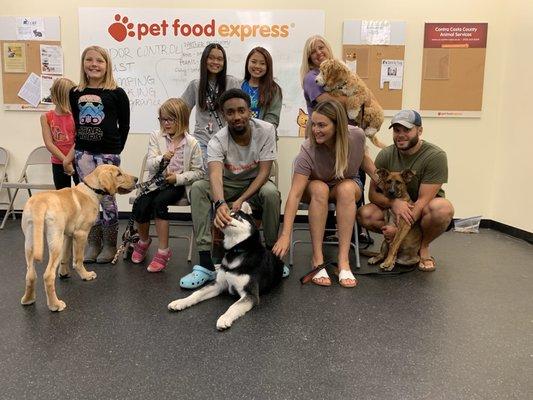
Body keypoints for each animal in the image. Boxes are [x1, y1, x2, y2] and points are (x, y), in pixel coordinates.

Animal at [20, 164, 137, 310]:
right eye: (119, 174)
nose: (137, 179)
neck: (91, 190)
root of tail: (39, 203)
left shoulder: (68, 235)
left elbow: (65, 257)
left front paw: (64, 273)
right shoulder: (81, 234)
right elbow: (78, 260)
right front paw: (86, 275)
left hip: (31, 243)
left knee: (30, 274)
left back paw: (28, 299)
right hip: (55, 242)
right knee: (48, 275)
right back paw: (55, 305)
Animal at [167, 203, 282, 332]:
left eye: (236, 216)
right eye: (226, 214)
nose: (222, 218)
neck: (236, 251)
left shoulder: (250, 294)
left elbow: (234, 306)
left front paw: (224, 318)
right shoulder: (219, 284)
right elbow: (197, 294)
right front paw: (181, 302)